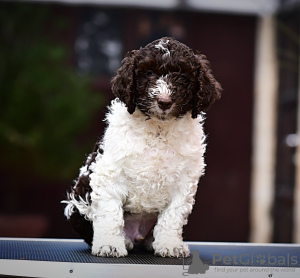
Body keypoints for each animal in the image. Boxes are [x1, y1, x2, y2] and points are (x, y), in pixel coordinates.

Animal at [61, 37, 221, 258]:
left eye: (182, 76)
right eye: (149, 73)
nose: (164, 102)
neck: (158, 128)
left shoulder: (183, 183)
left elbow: (173, 216)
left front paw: (170, 244)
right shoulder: (109, 174)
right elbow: (110, 213)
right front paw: (110, 244)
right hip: (78, 203)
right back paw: (124, 241)